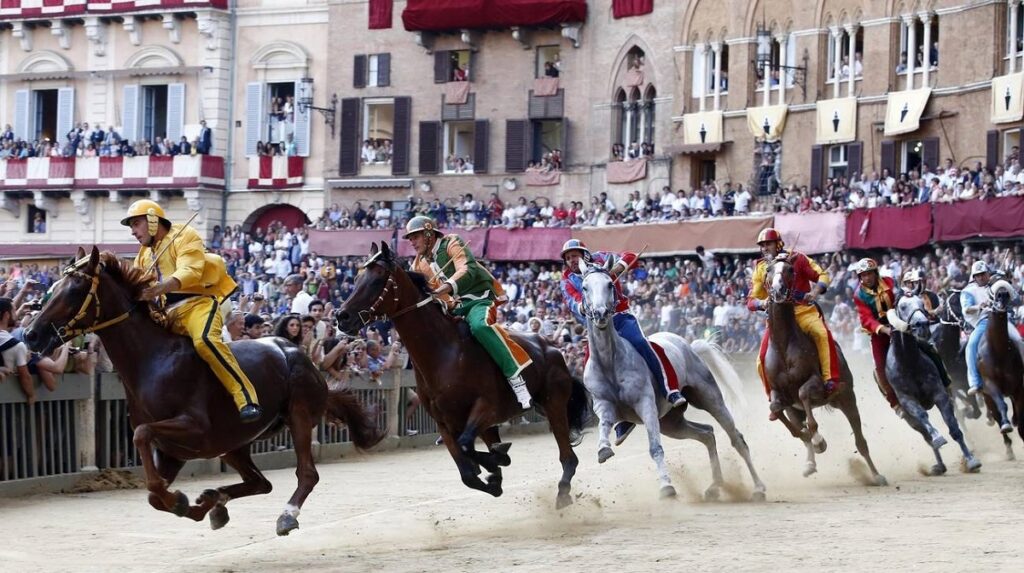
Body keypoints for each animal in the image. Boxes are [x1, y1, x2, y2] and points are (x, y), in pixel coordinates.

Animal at [24, 247, 385, 536]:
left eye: (75, 289)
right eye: (53, 287)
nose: (31, 334)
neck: (152, 361)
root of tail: (297, 351)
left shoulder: (195, 430)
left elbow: (142, 437)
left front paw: (180, 500)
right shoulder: (174, 451)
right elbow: (153, 493)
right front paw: (189, 503)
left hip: (298, 416)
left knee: (306, 474)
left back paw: (285, 516)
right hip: (233, 445)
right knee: (261, 483)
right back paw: (215, 502)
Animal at [335, 239, 589, 507]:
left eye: (378, 277)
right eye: (357, 277)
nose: (342, 316)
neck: (444, 353)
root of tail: (552, 348)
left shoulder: (487, 407)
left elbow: (468, 446)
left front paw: (495, 461)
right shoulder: (445, 423)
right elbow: (467, 471)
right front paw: (493, 473)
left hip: (554, 405)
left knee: (568, 457)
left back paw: (562, 493)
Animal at [581, 260, 765, 501]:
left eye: (610, 284)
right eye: (584, 287)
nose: (601, 313)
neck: (609, 362)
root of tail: (689, 346)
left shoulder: (646, 405)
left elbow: (655, 448)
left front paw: (667, 487)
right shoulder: (604, 405)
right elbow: (603, 426)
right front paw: (603, 449)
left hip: (709, 398)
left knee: (736, 438)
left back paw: (758, 488)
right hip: (672, 422)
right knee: (707, 433)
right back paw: (715, 486)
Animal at [765, 257, 884, 485]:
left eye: (790, 269)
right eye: (768, 270)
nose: (778, 290)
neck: (784, 347)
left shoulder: (816, 384)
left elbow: (804, 394)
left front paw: (819, 440)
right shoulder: (780, 393)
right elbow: (777, 408)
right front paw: (808, 440)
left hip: (847, 398)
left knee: (860, 440)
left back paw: (877, 475)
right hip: (799, 409)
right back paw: (809, 463)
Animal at [974, 280, 1024, 458]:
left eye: (1007, 292)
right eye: (993, 293)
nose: (1001, 298)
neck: (999, 351)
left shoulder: (1018, 386)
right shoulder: (990, 385)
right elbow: (1002, 406)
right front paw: (1006, 426)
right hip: (987, 396)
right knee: (995, 413)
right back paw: (1008, 448)